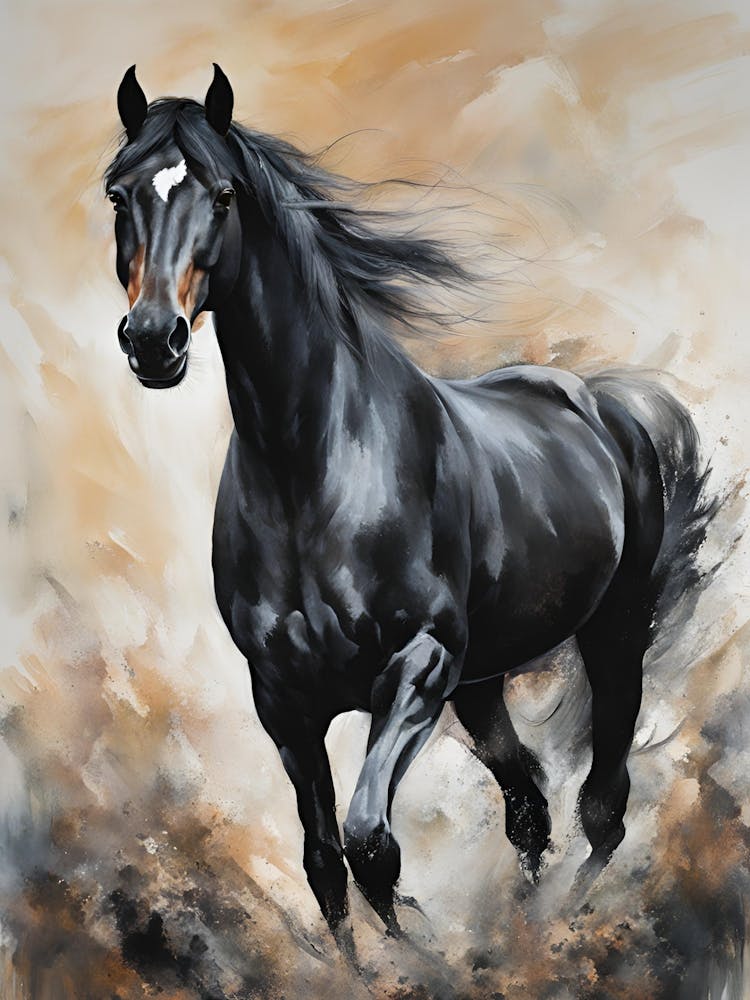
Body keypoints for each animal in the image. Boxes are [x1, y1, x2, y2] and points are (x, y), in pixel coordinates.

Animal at [104, 64, 713, 949]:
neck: (312, 470)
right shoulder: (282, 699)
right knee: (528, 805)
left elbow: (371, 845)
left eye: (220, 195)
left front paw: (417, 953)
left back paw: (552, 934)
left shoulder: (417, 666)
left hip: (610, 633)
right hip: (481, 683)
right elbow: (325, 863)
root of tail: (606, 404)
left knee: (602, 809)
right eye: (119, 194)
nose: (155, 339)